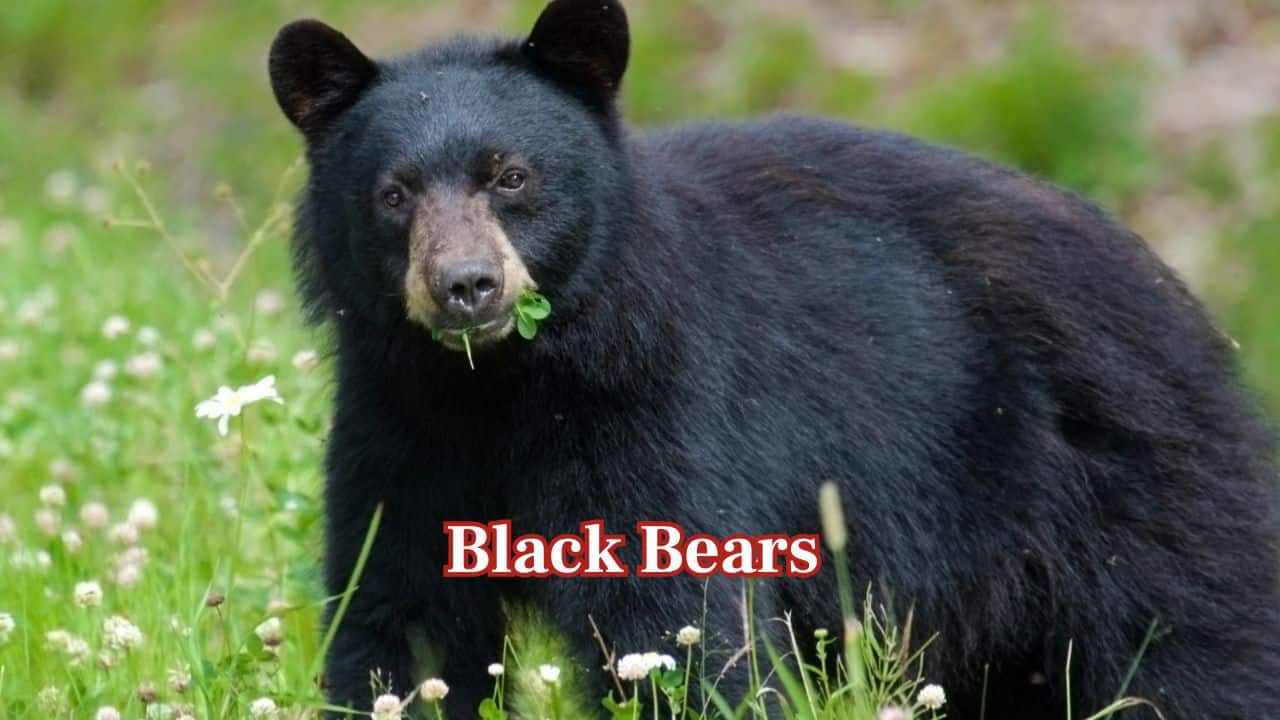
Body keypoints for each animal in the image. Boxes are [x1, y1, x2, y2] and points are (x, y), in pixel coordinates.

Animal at [267, 1, 1280, 718]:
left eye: (512, 177)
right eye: (394, 194)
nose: (467, 287)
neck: (505, 386)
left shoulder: (660, 406)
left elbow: (680, 620)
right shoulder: (399, 422)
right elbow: (397, 613)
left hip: (1129, 493)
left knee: (1196, 649)